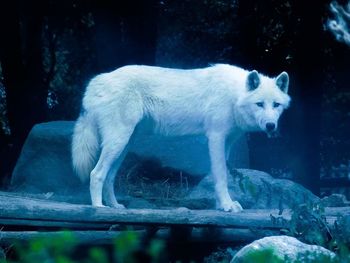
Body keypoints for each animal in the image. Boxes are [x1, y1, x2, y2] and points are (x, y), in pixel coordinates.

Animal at [71, 65, 290, 213]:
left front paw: (220, 206)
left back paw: (115, 205)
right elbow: (221, 176)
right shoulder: (216, 138)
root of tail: (98, 80)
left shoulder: (226, 142)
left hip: (124, 144)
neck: (234, 95)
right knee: (96, 173)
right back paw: (99, 207)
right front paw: (227, 205)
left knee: (109, 177)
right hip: (118, 141)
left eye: (276, 105)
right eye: (259, 104)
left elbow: (219, 176)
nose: (271, 126)